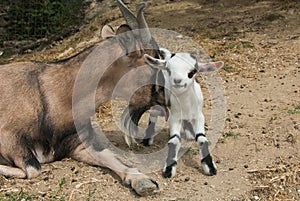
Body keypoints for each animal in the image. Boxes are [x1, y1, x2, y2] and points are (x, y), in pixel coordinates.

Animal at [0, 0, 159, 195]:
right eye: (153, 61)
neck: (51, 95)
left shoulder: (77, 145)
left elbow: (112, 158)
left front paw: (143, 181)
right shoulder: (8, 136)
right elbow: (33, 169)